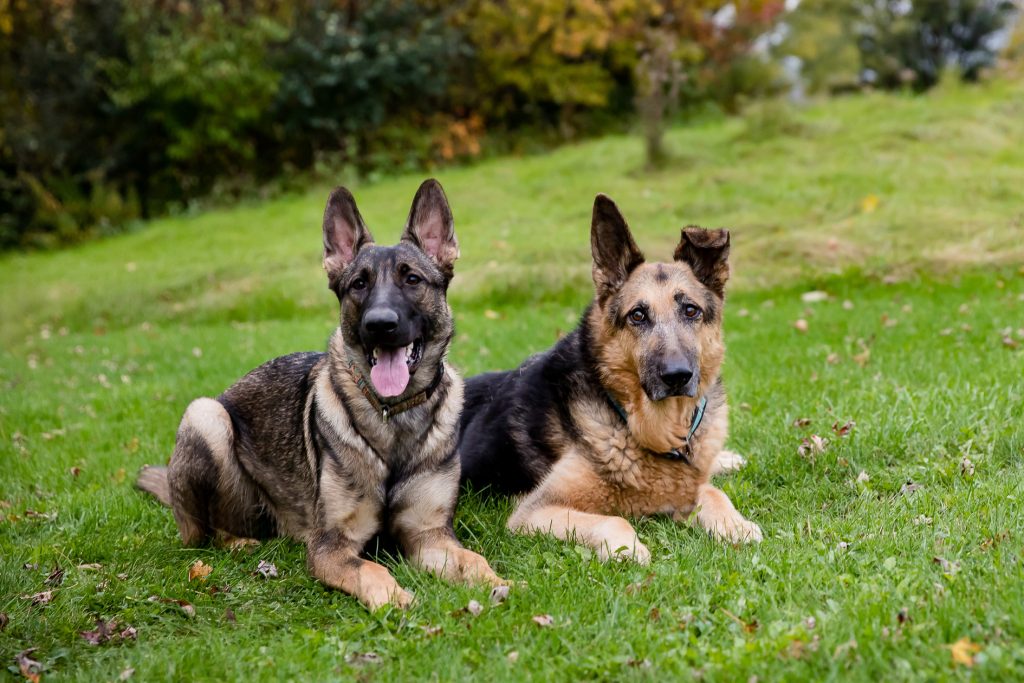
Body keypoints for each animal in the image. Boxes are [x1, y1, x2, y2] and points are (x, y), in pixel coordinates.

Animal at [137, 179, 503, 609]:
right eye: (359, 284)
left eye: (412, 279)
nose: (380, 324)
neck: (393, 417)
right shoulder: (331, 545)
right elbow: (372, 570)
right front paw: (395, 599)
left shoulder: (428, 535)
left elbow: (472, 559)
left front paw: (500, 583)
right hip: (206, 416)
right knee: (207, 535)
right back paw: (240, 542)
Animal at [458, 194, 760, 564]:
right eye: (638, 315)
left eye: (691, 310)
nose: (677, 376)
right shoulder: (535, 511)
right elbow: (614, 519)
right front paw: (627, 549)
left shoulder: (688, 485)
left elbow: (713, 492)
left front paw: (735, 524)